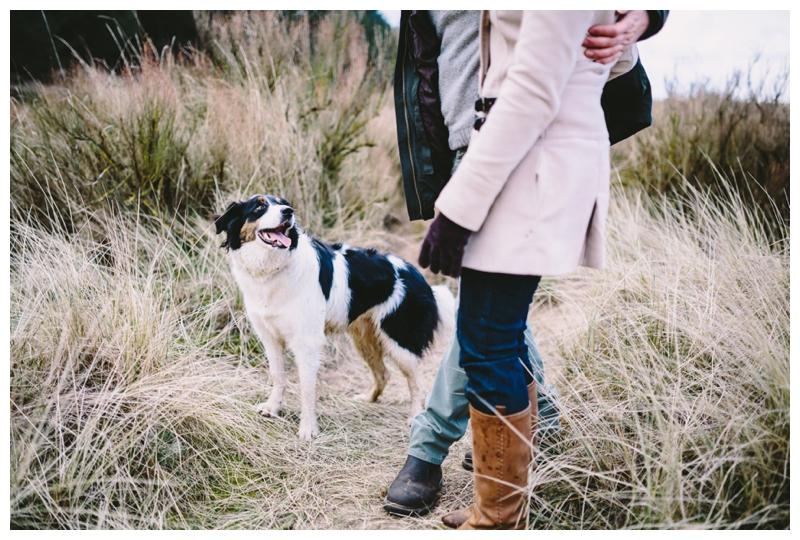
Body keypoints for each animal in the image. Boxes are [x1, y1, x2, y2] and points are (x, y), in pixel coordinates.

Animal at [216, 194, 454, 438]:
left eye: (284, 203)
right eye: (260, 206)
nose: (288, 212)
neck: (272, 269)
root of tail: (420, 277)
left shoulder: (307, 341)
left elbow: (307, 388)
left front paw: (308, 428)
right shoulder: (270, 337)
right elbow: (278, 376)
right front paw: (272, 408)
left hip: (400, 340)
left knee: (417, 382)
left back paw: (414, 416)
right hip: (364, 339)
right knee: (383, 373)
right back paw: (367, 399)